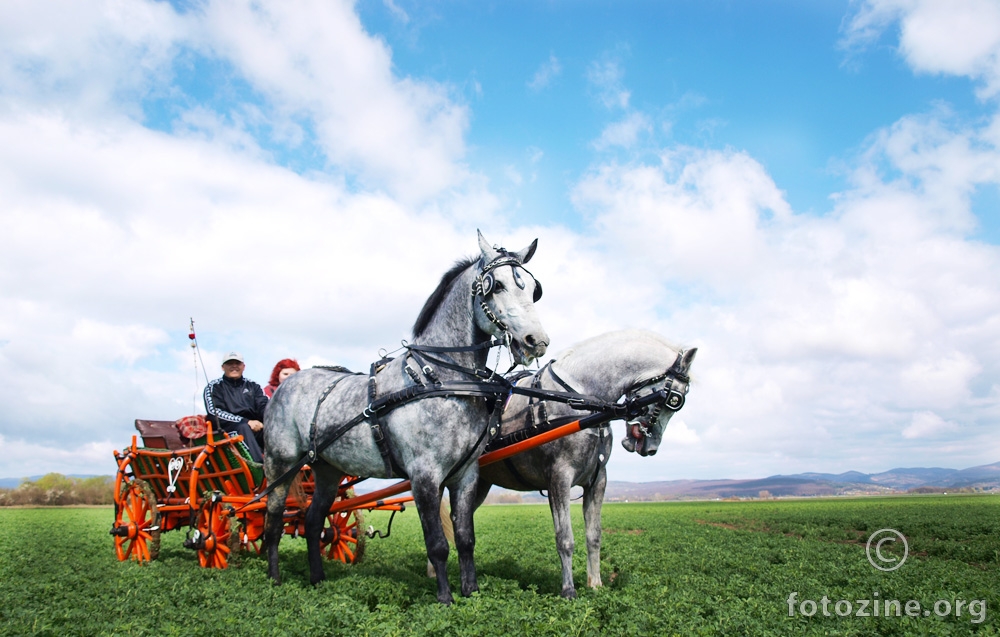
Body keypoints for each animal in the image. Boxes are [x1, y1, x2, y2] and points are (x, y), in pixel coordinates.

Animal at [262, 231, 552, 604]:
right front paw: (445, 599)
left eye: (533, 289)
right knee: (272, 521)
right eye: (496, 285)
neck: (441, 377)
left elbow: (465, 539)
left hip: (327, 469)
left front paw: (470, 594)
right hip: (280, 465)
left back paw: (317, 579)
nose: (537, 341)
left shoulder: (466, 475)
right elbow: (438, 544)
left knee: (313, 522)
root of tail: (285, 386)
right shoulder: (424, 474)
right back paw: (274, 580)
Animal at [476, 330, 696, 600]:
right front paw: (568, 590)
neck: (580, 399)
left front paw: (596, 584)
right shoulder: (559, 479)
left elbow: (594, 535)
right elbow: (565, 538)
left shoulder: (597, 480)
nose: (651, 447)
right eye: (673, 400)